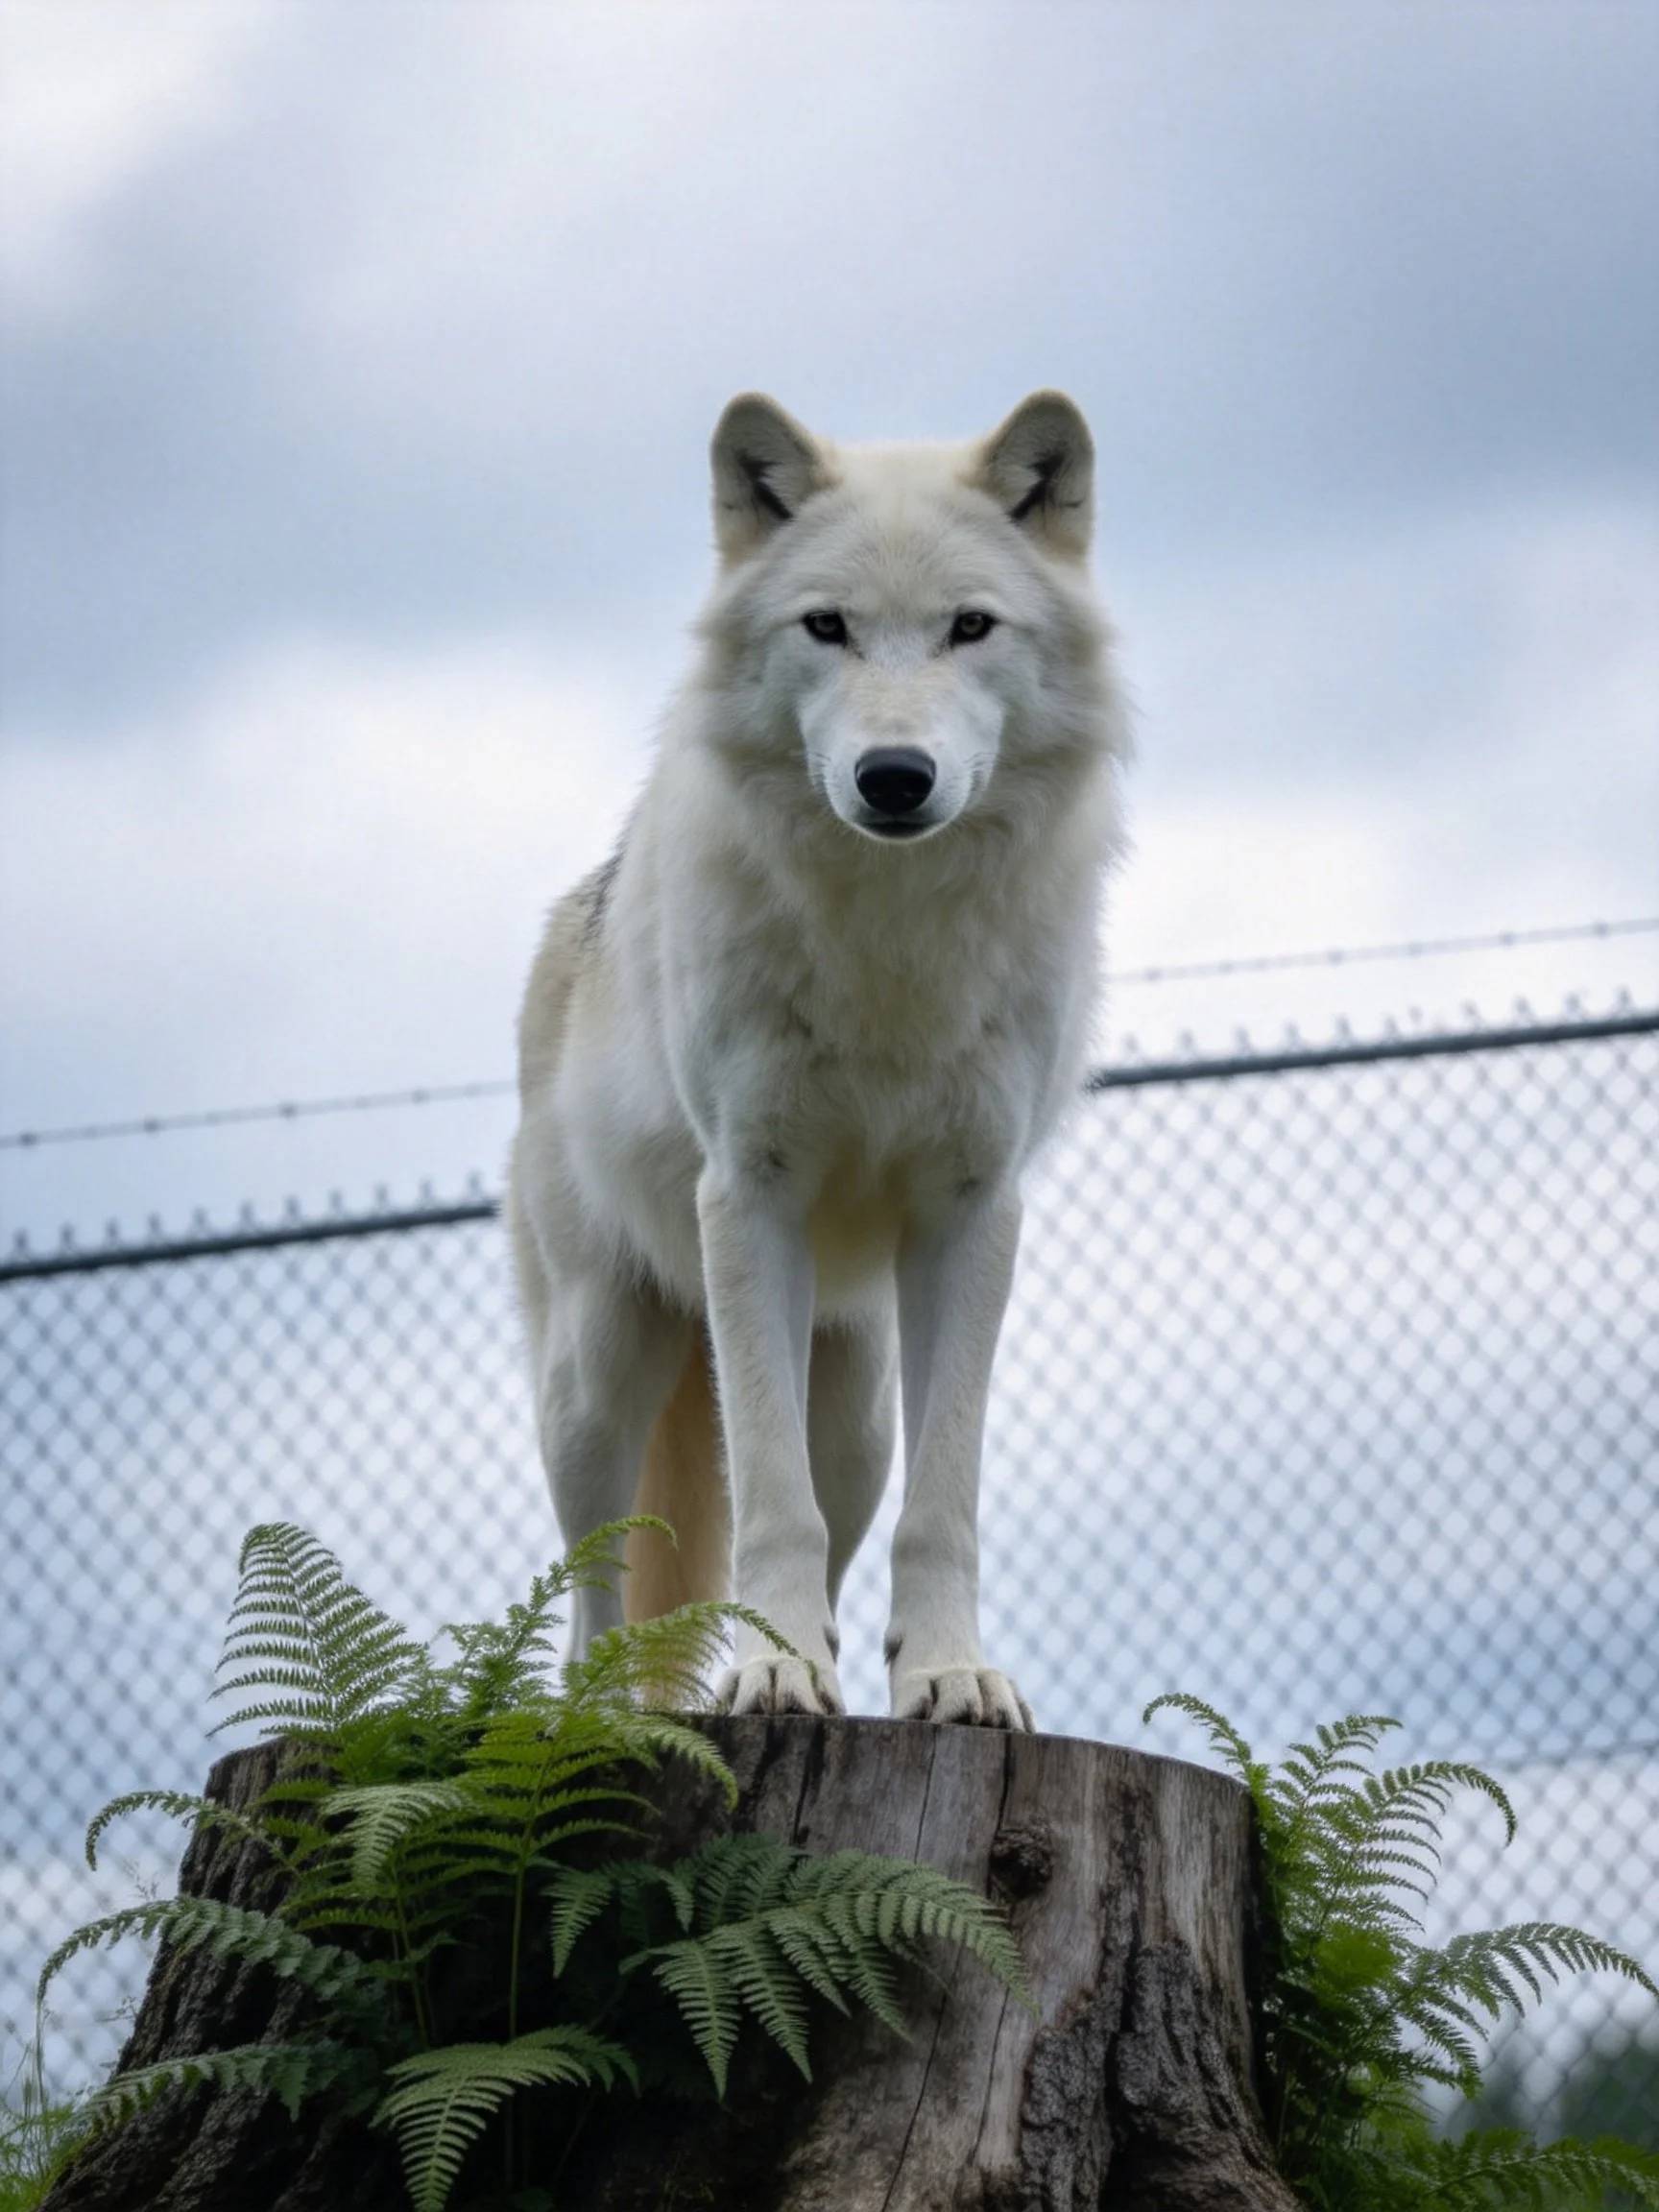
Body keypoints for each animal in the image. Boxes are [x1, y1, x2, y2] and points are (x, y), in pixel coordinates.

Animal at [507, 390, 1128, 1729]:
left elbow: (945, 1505)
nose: (893, 778)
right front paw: (776, 1673)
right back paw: (612, 1720)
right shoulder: (748, 1196)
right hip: (596, 1377)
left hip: (858, 1409)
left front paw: (947, 1674)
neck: (889, 934)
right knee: (592, 1602)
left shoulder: (973, 1216)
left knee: (842, 1518)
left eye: (969, 627)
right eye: (827, 626)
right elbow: (766, 1501)